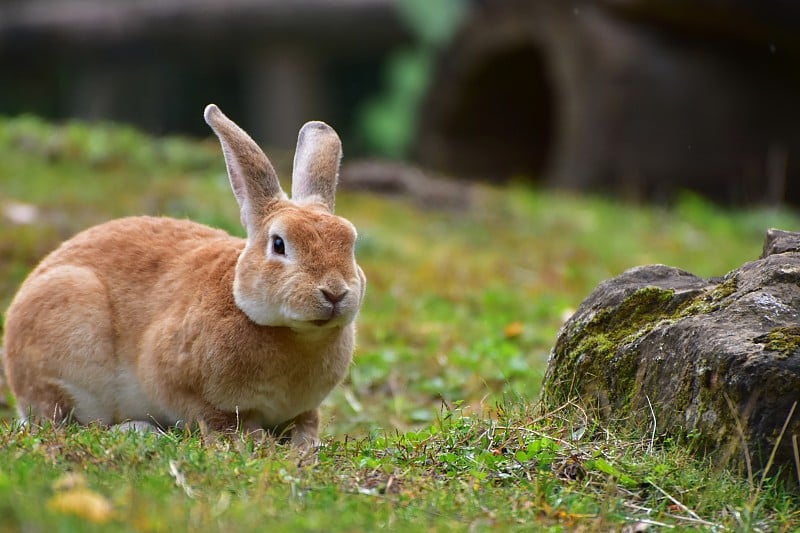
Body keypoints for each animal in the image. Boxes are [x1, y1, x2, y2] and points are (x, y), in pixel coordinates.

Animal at [1, 103, 366, 444]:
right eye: (279, 244)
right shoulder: (181, 385)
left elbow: (306, 422)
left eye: (351, 241)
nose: (334, 293)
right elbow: (216, 418)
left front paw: (305, 444)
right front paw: (256, 439)